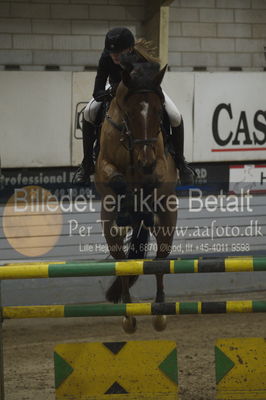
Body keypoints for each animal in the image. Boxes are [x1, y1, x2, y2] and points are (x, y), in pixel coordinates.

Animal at [94, 59, 178, 332]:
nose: (145, 161)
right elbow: (117, 180)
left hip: (168, 220)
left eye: (159, 112)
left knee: (161, 261)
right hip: (108, 227)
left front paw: (142, 206)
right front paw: (128, 208)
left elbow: (152, 180)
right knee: (122, 263)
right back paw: (128, 315)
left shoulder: (160, 165)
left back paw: (160, 312)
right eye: (129, 114)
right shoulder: (104, 166)